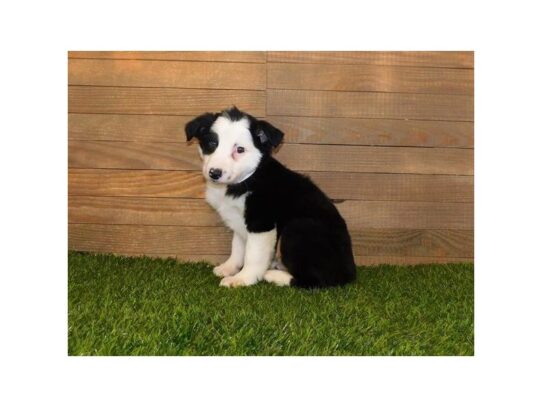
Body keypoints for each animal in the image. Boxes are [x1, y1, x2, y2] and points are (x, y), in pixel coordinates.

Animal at [185, 107, 360, 288]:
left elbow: (253, 256)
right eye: (212, 144)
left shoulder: (261, 223)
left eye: (240, 150)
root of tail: (349, 274)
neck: (246, 180)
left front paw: (242, 278)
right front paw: (229, 267)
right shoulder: (239, 221)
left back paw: (274, 275)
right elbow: (238, 247)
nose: (215, 172)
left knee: (315, 281)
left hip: (297, 228)